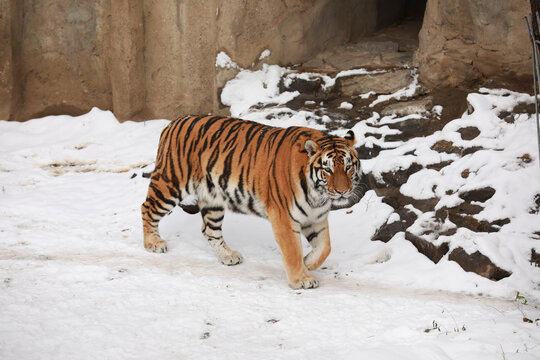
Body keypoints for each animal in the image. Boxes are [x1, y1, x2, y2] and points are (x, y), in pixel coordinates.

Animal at [142, 115, 362, 290]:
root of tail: (173, 123)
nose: (343, 191)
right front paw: (301, 279)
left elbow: (325, 247)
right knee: (147, 208)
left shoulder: (316, 219)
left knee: (209, 230)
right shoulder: (284, 218)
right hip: (170, 184)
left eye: (348, 167)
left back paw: (228, 256)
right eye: (328, 169)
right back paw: (153, 243)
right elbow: (292, 250)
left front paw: (308, 263)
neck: (318, 195)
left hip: (213, 199)